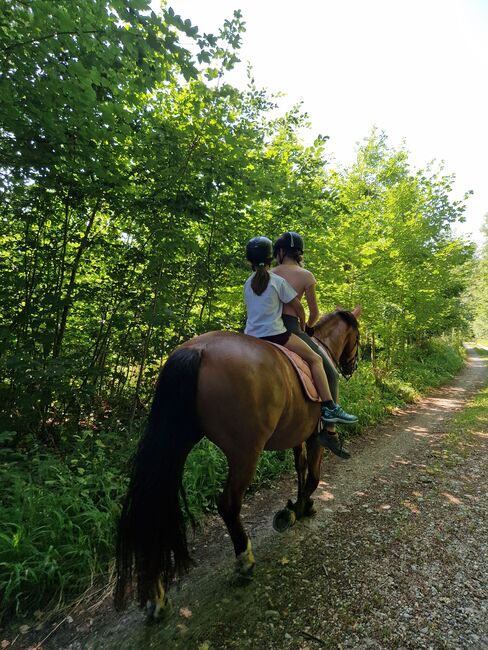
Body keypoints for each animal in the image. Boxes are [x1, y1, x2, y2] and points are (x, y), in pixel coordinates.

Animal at [113, 306, 358, 616]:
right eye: (358, 336)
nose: (351, 366)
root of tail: (197, 350)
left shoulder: (298, 433)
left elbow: (300, 468)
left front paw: (294, 508)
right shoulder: (315, 437)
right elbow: (313, 475)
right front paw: (301, 508)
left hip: (176, 437)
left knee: (156, 504)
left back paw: (156, 596)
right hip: (244, 452)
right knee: (228, 504)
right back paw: (245, 560)